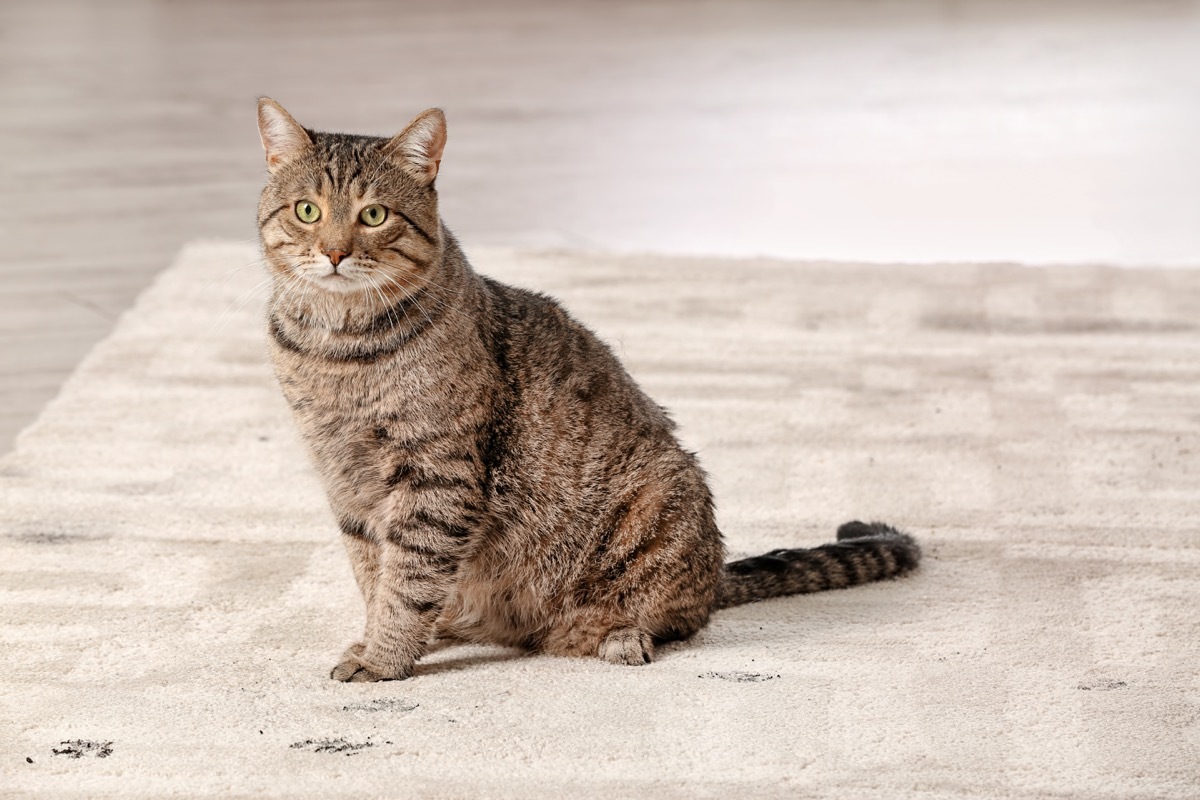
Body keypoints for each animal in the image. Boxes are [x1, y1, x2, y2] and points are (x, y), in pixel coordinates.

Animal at [258, 98, 921, 681]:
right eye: (307, 211)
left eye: (374, 215)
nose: (334, 252)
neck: (338, 351)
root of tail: (715, 574)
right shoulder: (343, 477)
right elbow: (376, 573)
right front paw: (379, 637)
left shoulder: (437, 472)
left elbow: (409, 578)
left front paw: (384, 656)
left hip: (662, 498)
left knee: (671, 619)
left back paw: (614, 635)